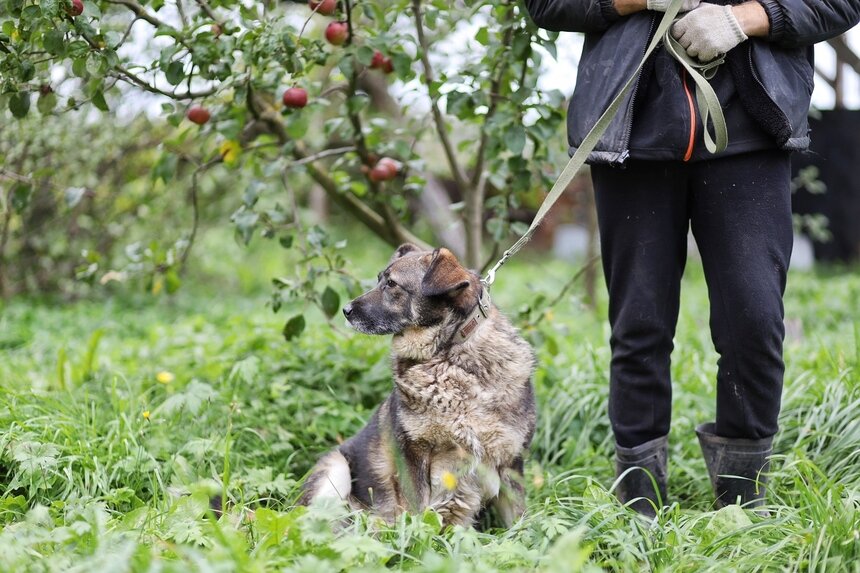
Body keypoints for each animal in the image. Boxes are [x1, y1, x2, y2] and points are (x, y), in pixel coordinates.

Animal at [298, 242, 536, 528]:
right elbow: (416, 516)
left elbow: (519, 524)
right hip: (334, 470)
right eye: (379, 280)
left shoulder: (511, 462)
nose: (345, 310)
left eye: (391, 284)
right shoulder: (413, 456)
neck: (447, 354)